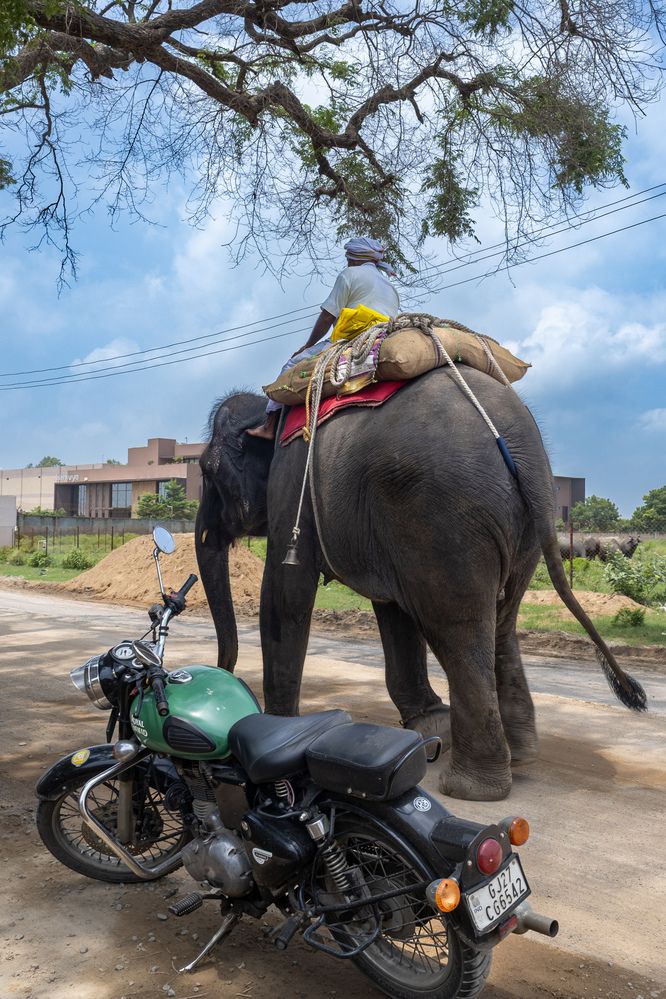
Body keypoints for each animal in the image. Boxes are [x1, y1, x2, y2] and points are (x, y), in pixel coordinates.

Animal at [196, 368, 646, 801]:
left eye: (206, 471)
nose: (223, 673)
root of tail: (521, 444)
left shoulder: (293, 485)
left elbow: (286, 593)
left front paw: (275, 728)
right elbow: (391, 608)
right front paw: (429, 723)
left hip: (444, 517)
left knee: (456, 629)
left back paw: (470, 788)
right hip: (514, 530)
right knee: (501, 622)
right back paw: (520, 757)